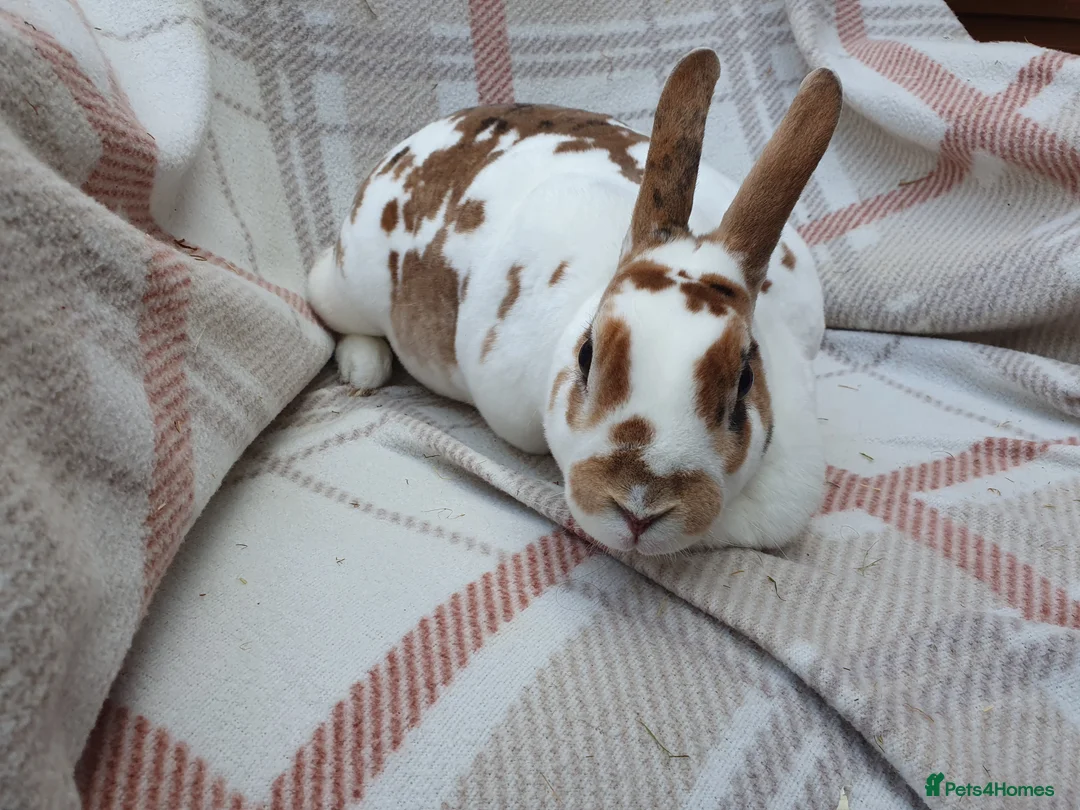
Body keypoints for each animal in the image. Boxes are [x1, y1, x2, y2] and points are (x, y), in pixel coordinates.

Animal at [307, 48, 842, 556]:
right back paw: (363, 368)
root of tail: (410, 144)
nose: (639, 509)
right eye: (586, 355)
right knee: (319, 291)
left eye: (745, 381)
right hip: (350, 283)